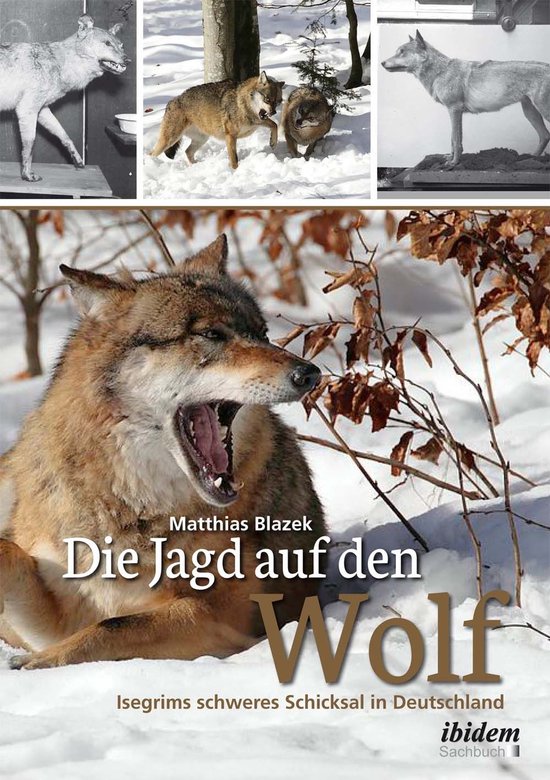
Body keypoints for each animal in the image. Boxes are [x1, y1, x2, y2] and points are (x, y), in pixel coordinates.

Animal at [0, 15, 128, 182]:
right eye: (107, 43)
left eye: (121, 45)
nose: (128, 60)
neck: (60, 63)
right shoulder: (26, 110)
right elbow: (30, 145)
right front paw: (27, 175)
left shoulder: (42, 110)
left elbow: (64, 135)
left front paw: (78, 160)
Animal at [0, 235, 327, 670]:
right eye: (211, 334)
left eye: (262, 333)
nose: (309, 373)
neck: (134, 510)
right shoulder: (59, 610)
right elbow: (10, 554)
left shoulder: (223, 616)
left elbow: (112, 627)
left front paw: (37, 665)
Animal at [150, 71, 285, 170]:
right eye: (267, 99)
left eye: (278, 102)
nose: (273, 112)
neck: (241, 104)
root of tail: (172, 100)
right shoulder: (230, 136)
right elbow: (234, 159)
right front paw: (234, 171)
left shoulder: (259, 121)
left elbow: (274, 125)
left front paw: (273, 142)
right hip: (169, 140)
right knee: (151, 153)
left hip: (201, 139)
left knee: (187, 152)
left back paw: (196, 166)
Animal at [382, 30, 550, 168]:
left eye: (401, 52)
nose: (382, 62)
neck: (440, 72)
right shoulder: (454, 112)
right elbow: (453, 139)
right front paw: (450, 158)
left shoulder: (454, 110)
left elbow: (456, 141)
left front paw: (454, 163)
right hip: (529, 112)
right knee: (544, 135)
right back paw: (530, 159)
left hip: (541, 111)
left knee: (545, 135)